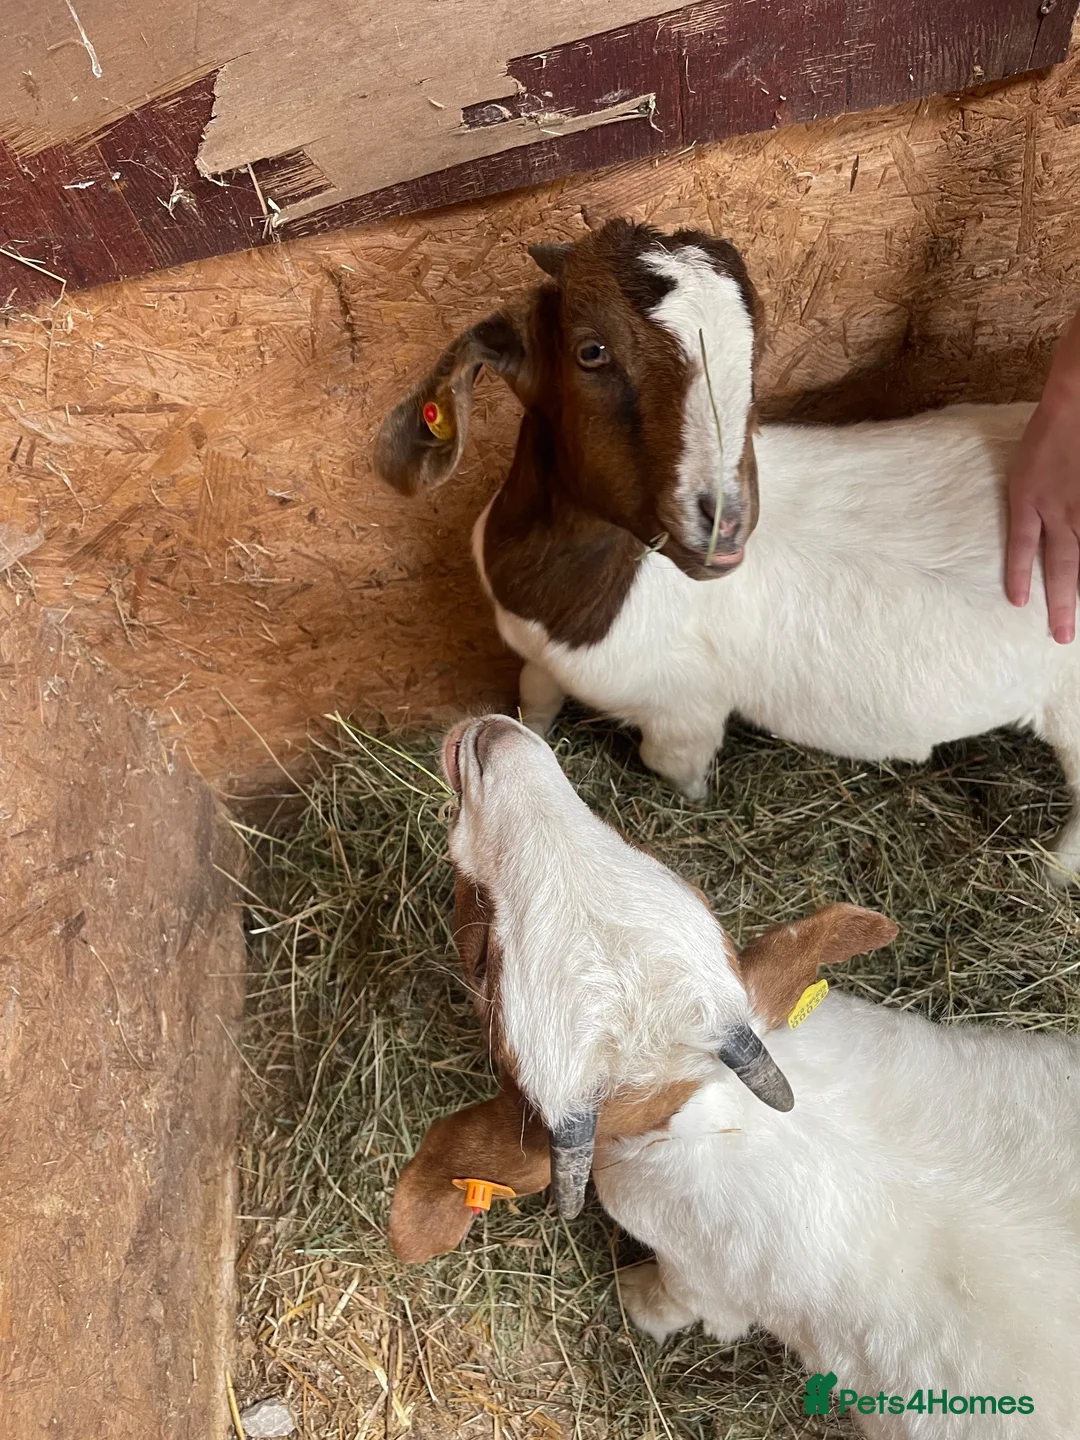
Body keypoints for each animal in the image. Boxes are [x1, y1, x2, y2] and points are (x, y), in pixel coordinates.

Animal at [374, 220, 1080, 882]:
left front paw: (694, 806)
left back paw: (1054, 870)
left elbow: (673, 768)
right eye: (591, 350)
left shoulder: (684, 712)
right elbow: (534, 705)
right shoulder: (540, 657)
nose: (726, 524)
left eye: (754, 352)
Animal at [390, 716, 1080, 1438]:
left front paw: (636, 1298)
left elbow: (682, 1304)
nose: (493, 739)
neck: (733, 1114)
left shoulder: (701, 1276)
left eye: (484, 964)